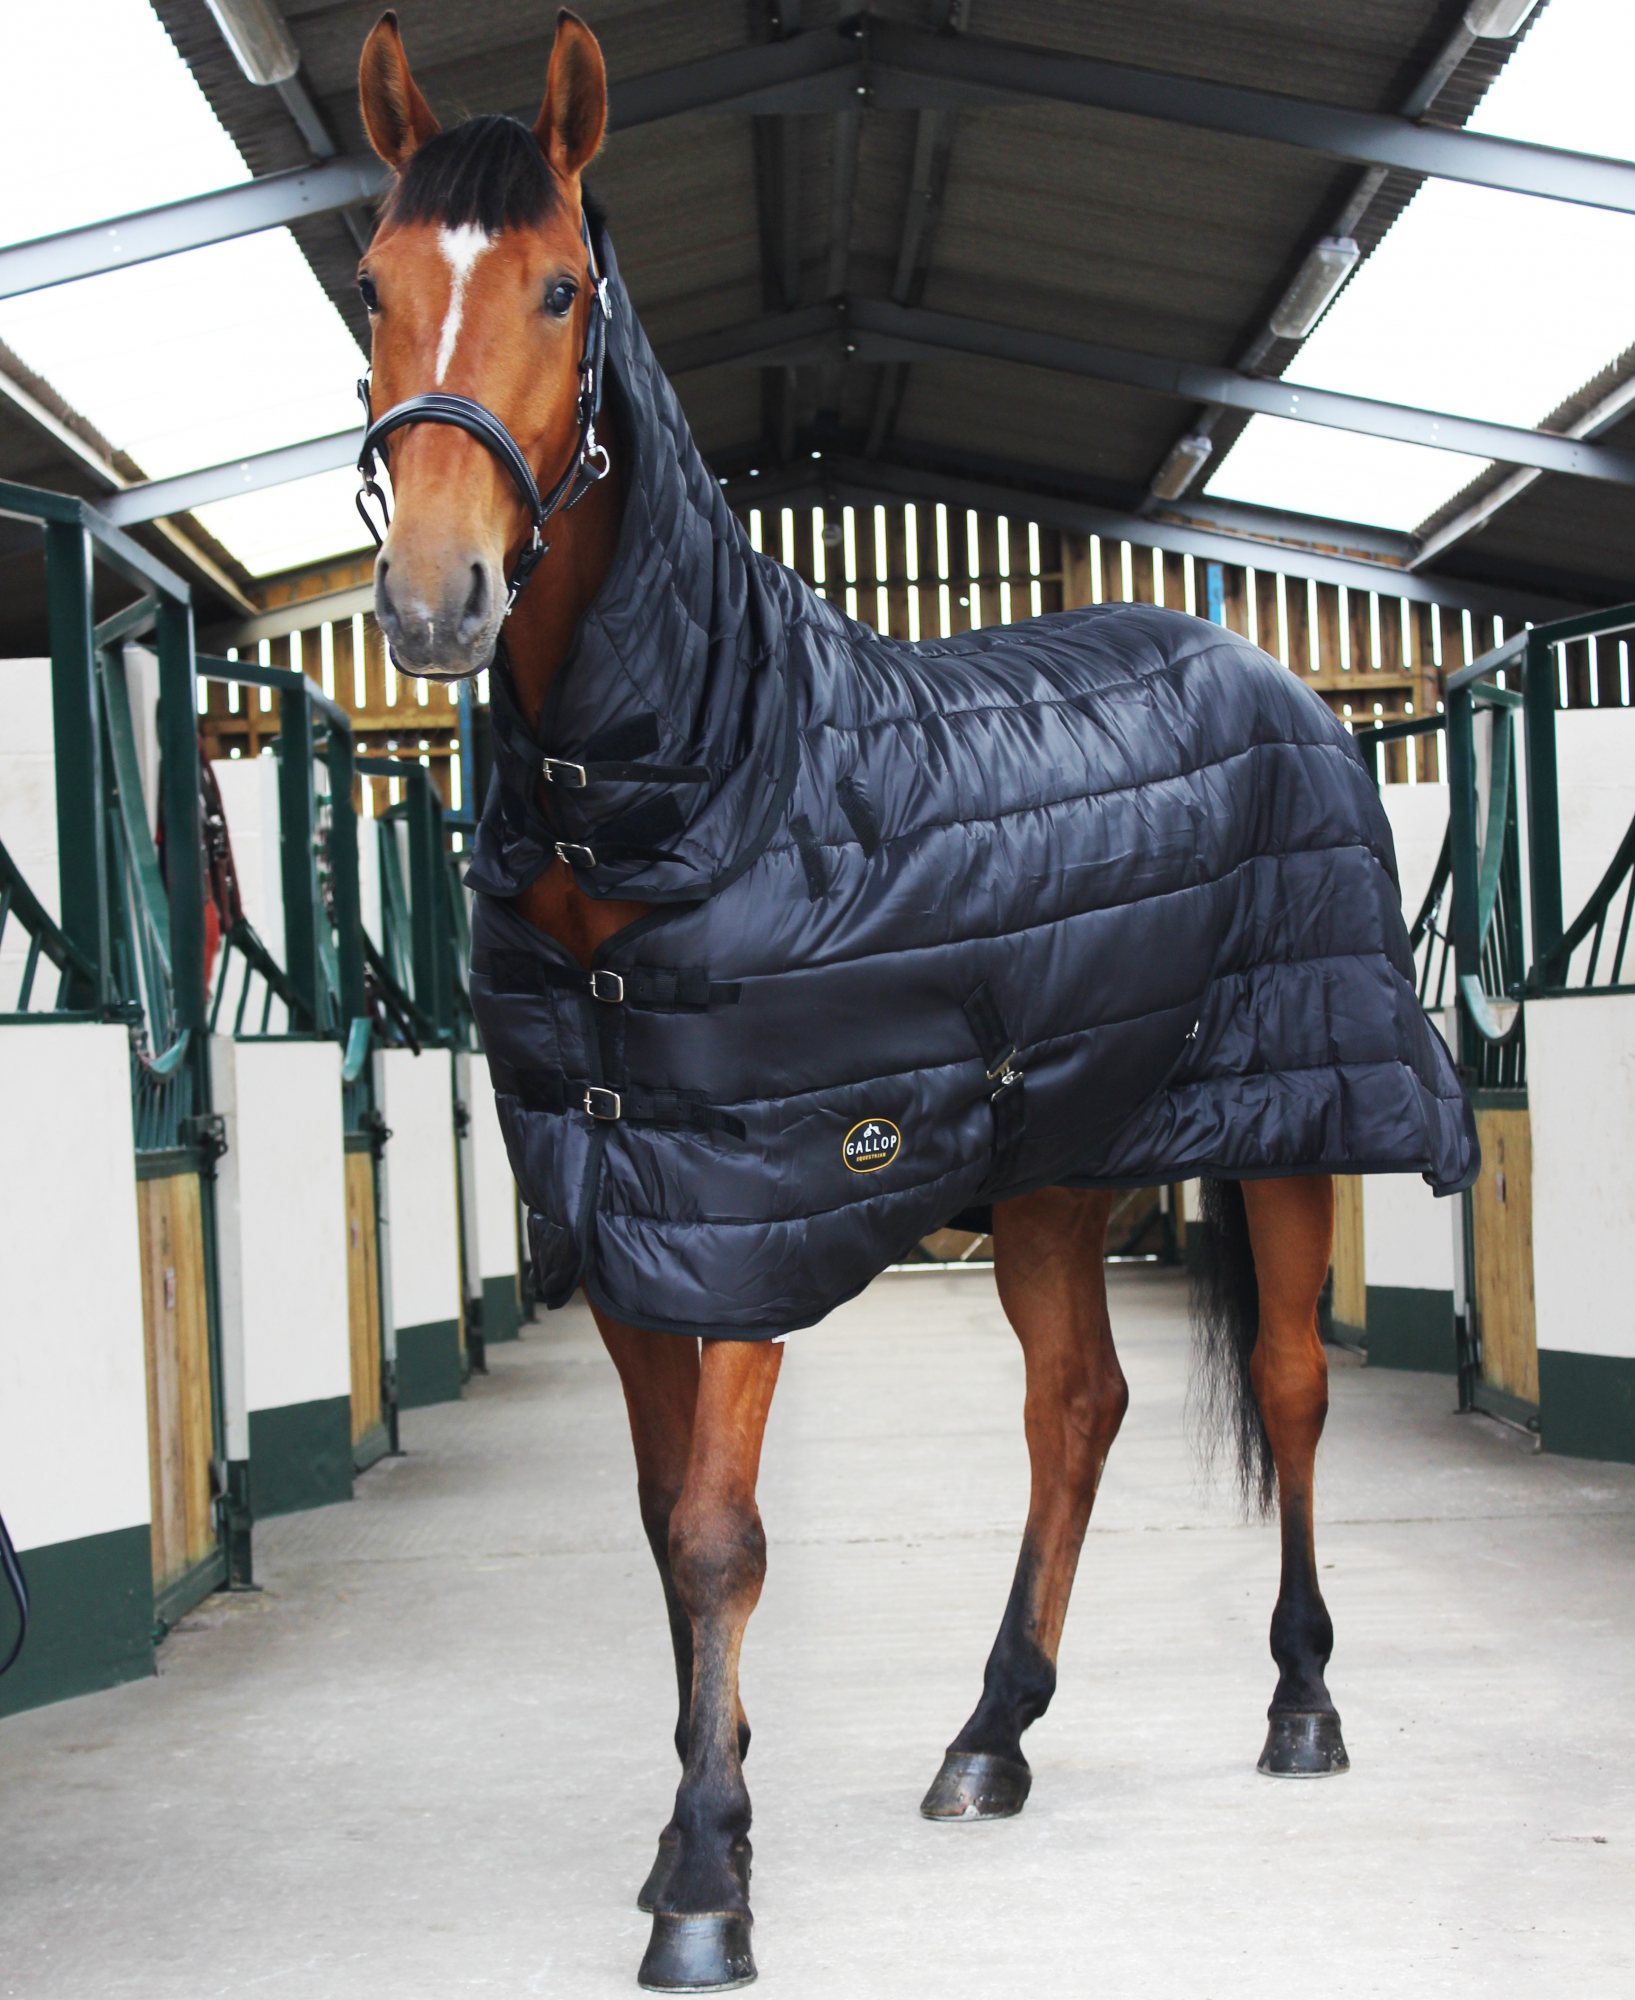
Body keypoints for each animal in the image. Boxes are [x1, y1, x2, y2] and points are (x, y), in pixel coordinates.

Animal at [352, 13, 1474, 1989]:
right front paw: (696, 1822)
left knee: (1284, 1384)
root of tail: (1267, 667)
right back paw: (991, 1734)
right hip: (1050, 1166)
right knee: (1075, 1405)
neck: (699, 777)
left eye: (560, 289)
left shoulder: (750, 1212)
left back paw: (1300, 1707)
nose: (430, 600)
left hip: (1292, 1122)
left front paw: (705, 1882)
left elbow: (717, 1539)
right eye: (370, 285)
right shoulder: (635, 1221)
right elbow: (658, 1527)